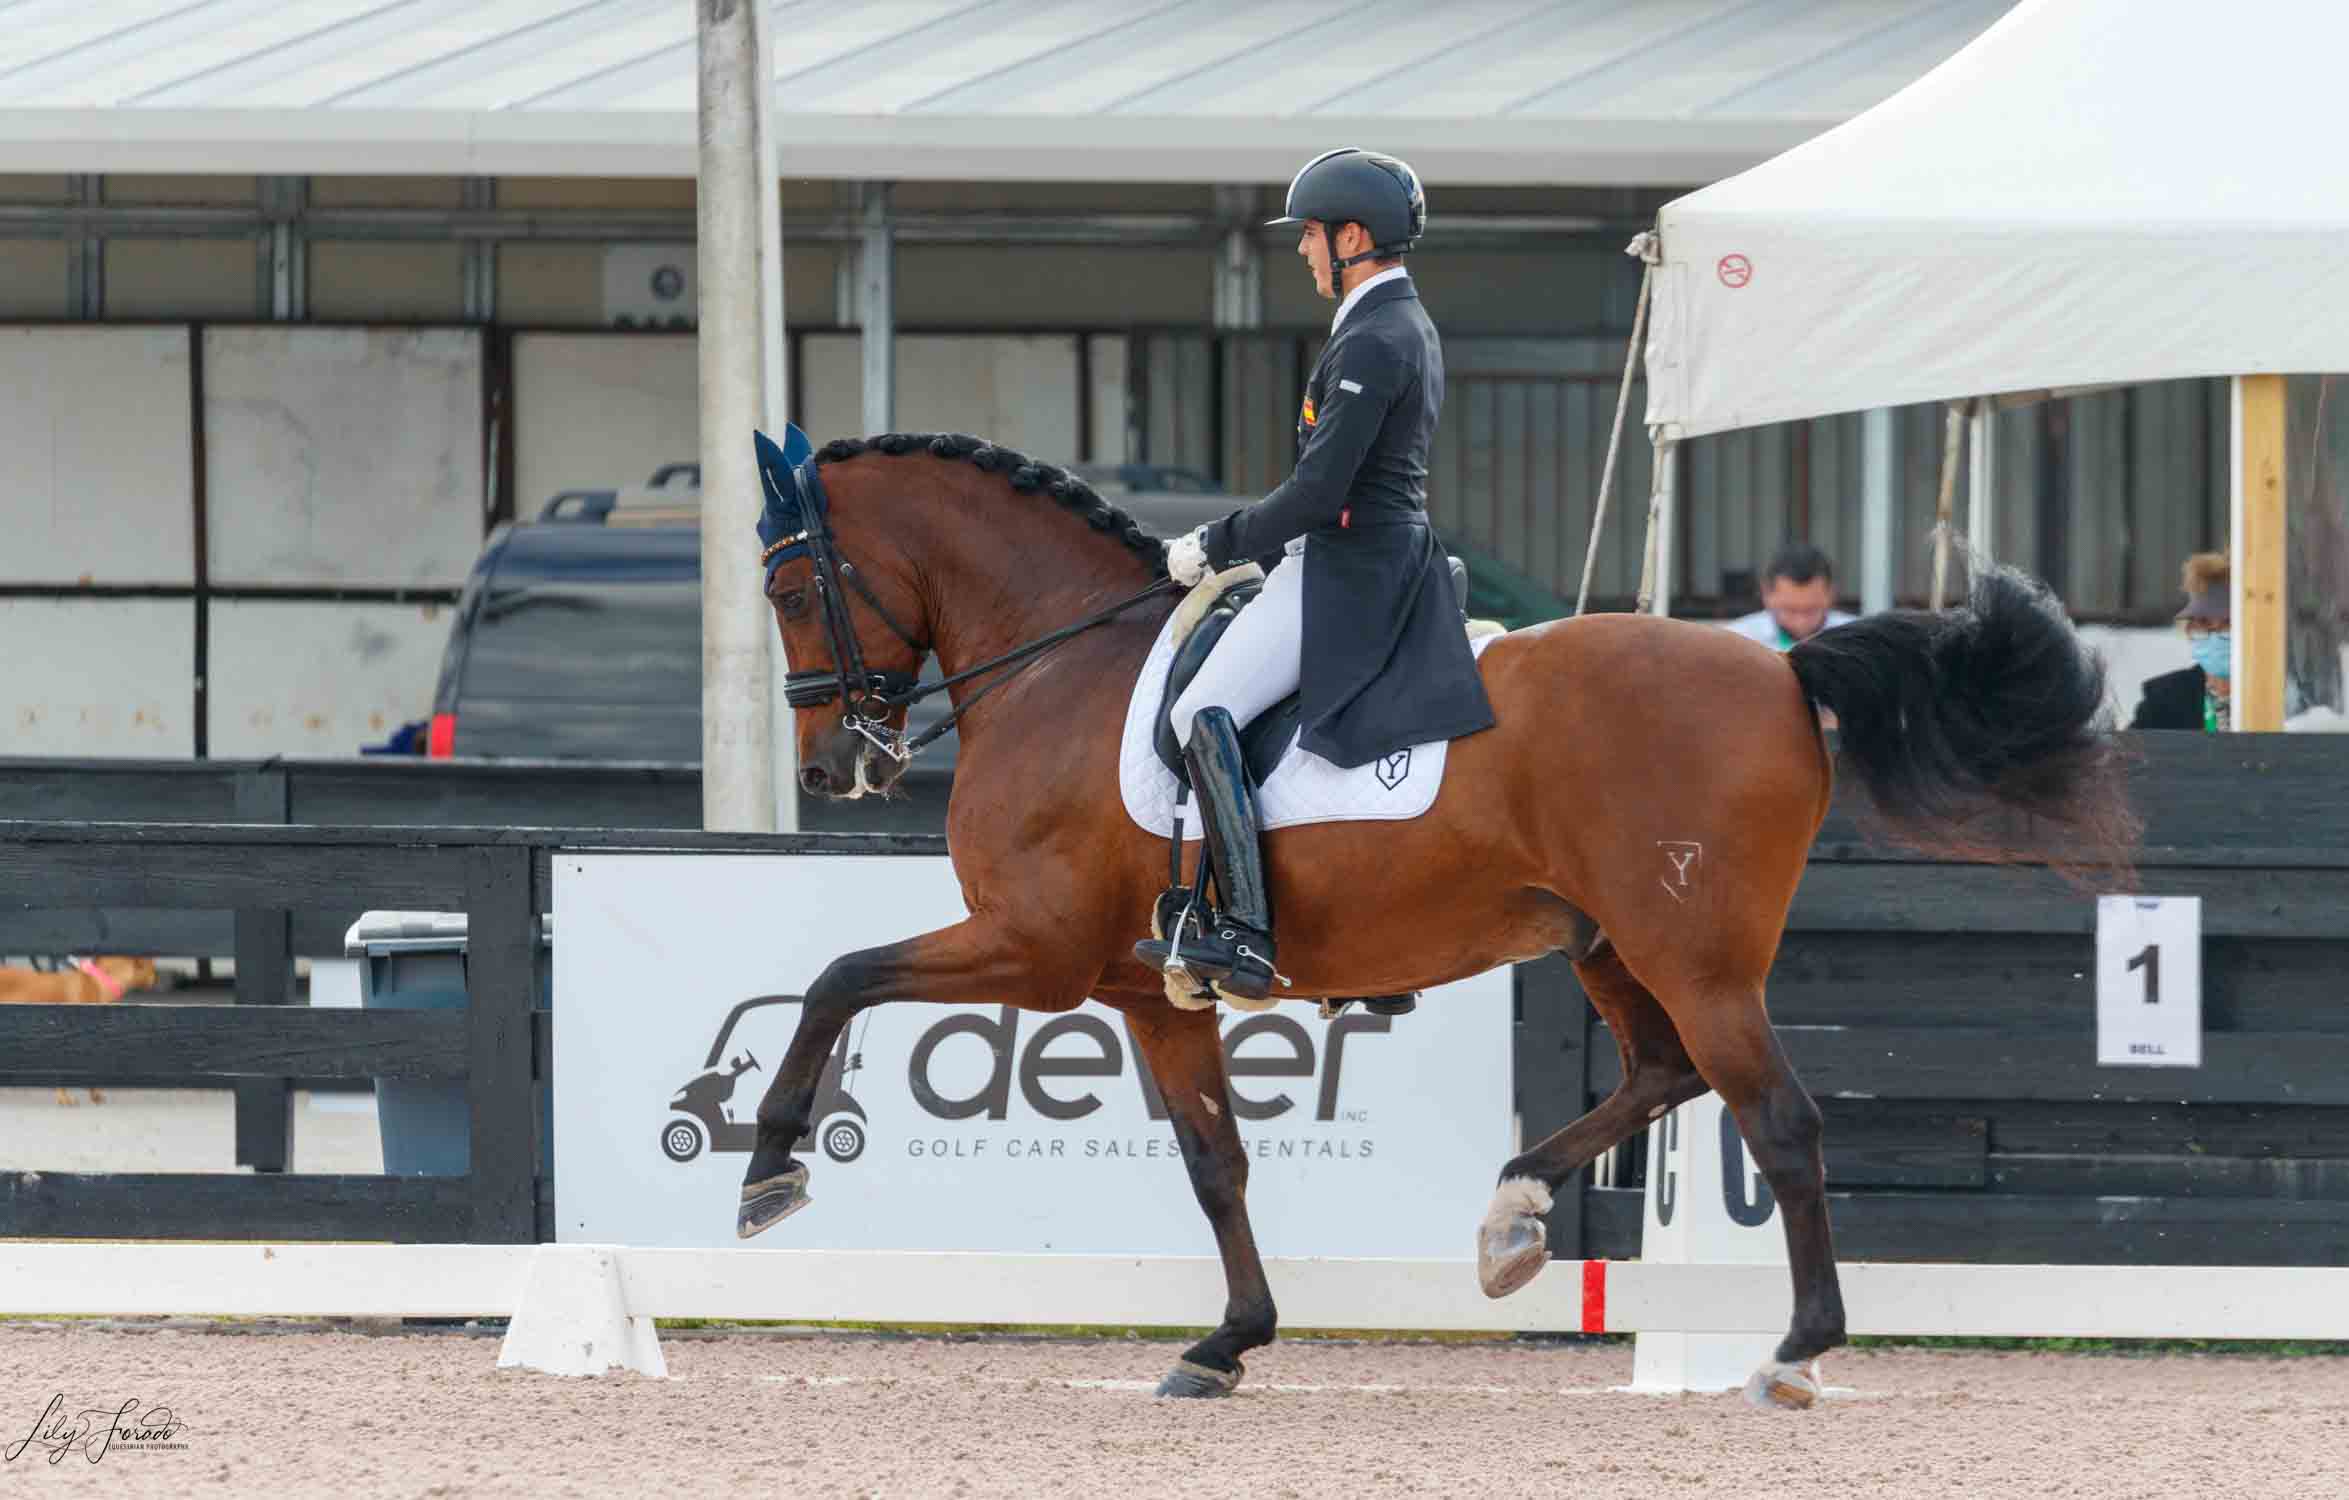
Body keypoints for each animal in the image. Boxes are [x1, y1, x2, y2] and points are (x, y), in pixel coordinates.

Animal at [742, 424, 2142, 1408]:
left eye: (791, 590)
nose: (829, 768)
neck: (1059, 664)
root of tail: (1784, 668)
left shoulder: (1039, 955)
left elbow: (837, 976)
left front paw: (769, 1175)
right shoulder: (1151, 989)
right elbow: (1215, 1162)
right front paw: (1228, 1343)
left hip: (1693, 956)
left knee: (1778, 1122)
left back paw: (1793, 1354)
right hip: (1608, 945)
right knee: (1665, 1073)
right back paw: (1512, 1220)